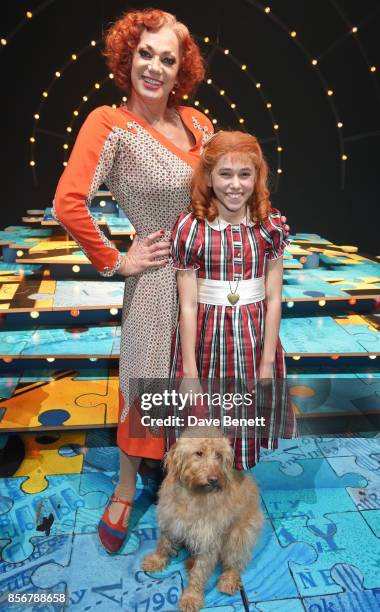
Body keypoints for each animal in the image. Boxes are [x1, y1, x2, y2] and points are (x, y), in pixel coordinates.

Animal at [141, 428, 262, 612]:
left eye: (218, 455)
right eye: (199, 453)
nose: (214, 479)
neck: (193, 494)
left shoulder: (208, 540)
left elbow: (199, 573)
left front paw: (191, 597)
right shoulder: (170, 522)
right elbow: (163, 545)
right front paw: (156, 560)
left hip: (238, 535)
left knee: (235, 562)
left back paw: (228, 579)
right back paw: (191, 561)